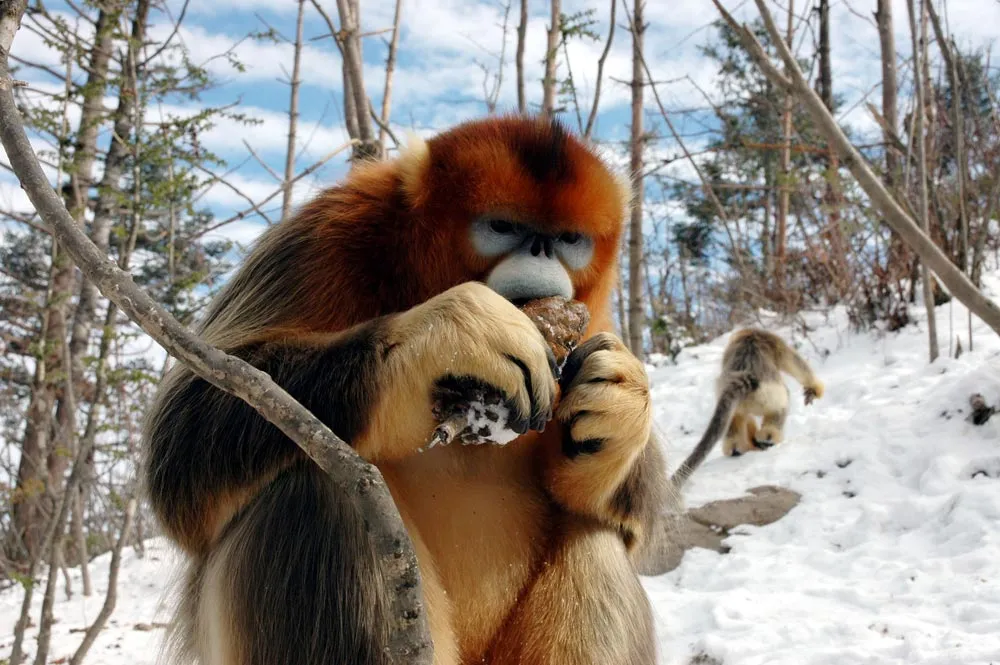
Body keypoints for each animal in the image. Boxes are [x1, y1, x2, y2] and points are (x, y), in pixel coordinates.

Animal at [142, 115, 670, 665]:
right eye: (502, 227)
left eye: (569, 239)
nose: (540, 251)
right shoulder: (319, 237)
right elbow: (178, 448)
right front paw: (449, 340)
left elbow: (628, 519)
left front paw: (618, 405)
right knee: (316, 485)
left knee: (594, 534)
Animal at [670, 328, 824, 489]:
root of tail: (745, 376)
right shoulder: (773, 341)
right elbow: (794, 362)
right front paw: (815, 388)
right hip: (771, 394)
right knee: (781, 405)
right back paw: (768, 437)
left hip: (737, 400)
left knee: (736, 416)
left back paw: (736, 447)